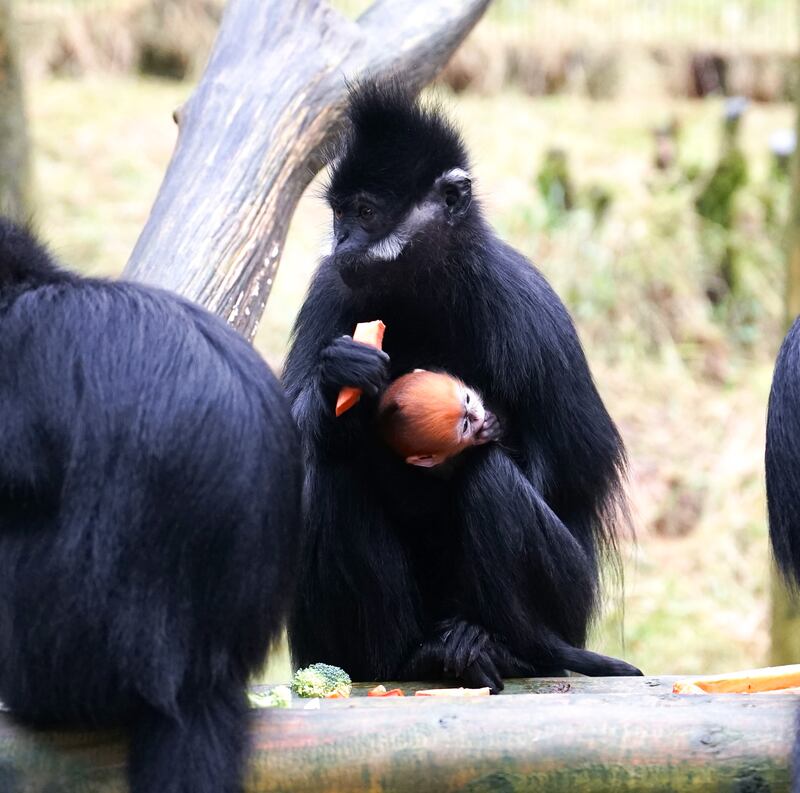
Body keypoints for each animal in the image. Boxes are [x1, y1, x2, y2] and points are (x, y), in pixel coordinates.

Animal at [284, 80, 640, 688]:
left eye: (366, 212)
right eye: (340, 216)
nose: (342, 242)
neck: (422, 294)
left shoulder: (521, 301)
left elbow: (579, 462)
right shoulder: (332, 284)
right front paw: (339, 384)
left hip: (570, 599)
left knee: (490, 480)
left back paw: (501, 647)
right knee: (330, 470)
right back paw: (397, 658)